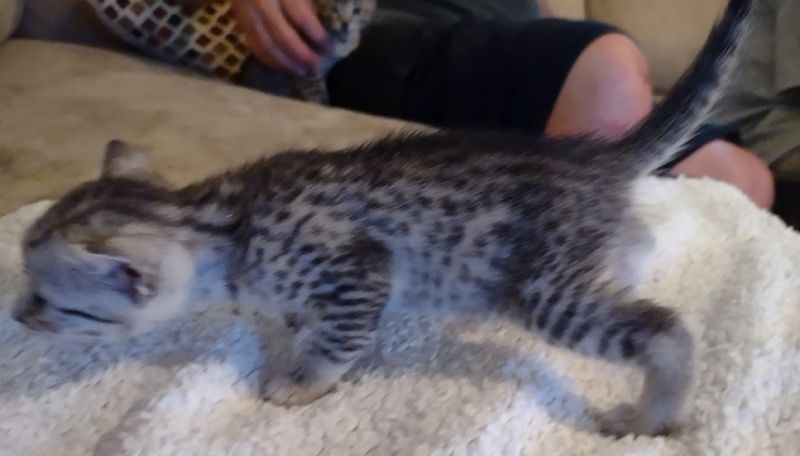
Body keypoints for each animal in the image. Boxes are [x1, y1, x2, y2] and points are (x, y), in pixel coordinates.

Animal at [12, 0, 751, 438]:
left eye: (49, 300)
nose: (17, 317)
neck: (221, 221)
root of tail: (591, 159)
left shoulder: (358, 268)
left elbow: (336, 339)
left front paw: (302, 382)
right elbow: (314, 325)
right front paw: (304, 343)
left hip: (543, 292)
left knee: (665, 328)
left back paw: (652, 417)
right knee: (638, 252)